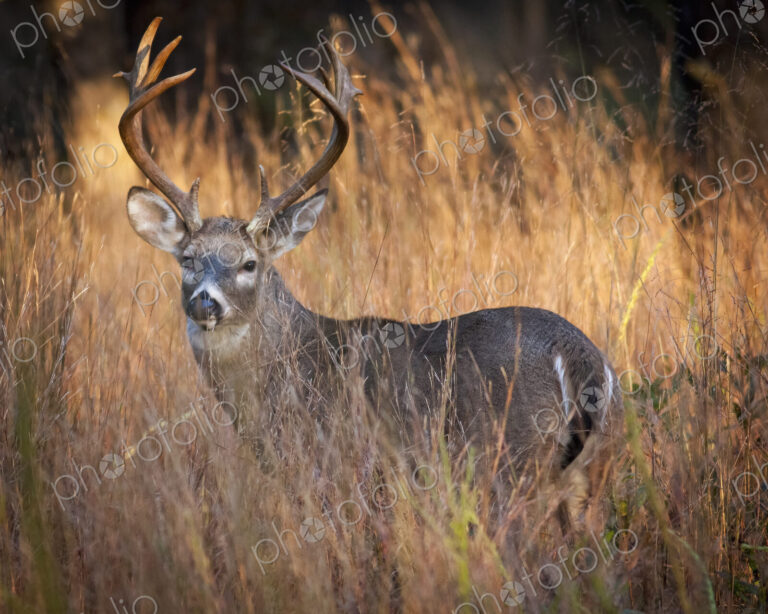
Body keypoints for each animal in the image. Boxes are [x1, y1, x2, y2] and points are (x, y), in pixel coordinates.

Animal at [116, 17, 624, 530]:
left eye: (249, 264)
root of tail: (579, 355)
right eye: (187, 259)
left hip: (510, 460)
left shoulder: (334, 465)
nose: (205, 301)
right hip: (589, 472)